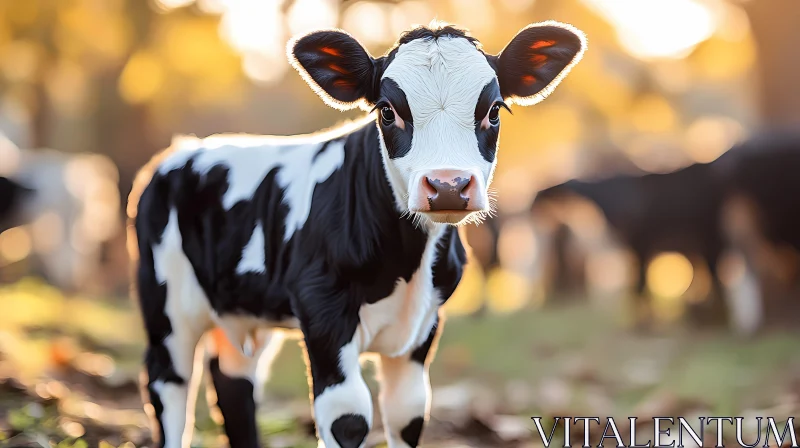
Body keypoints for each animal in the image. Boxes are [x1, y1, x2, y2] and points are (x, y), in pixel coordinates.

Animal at [128, 21, 584, 448]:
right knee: (168, 385)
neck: (406, 267)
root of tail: (182, 150)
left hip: (240, 308)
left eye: (493, 110)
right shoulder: (321, 309)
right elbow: (348, 417)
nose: (448, 185)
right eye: (386, 110)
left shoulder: (426, 321)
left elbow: (408, 412)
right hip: (166, 304)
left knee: (233, 384)